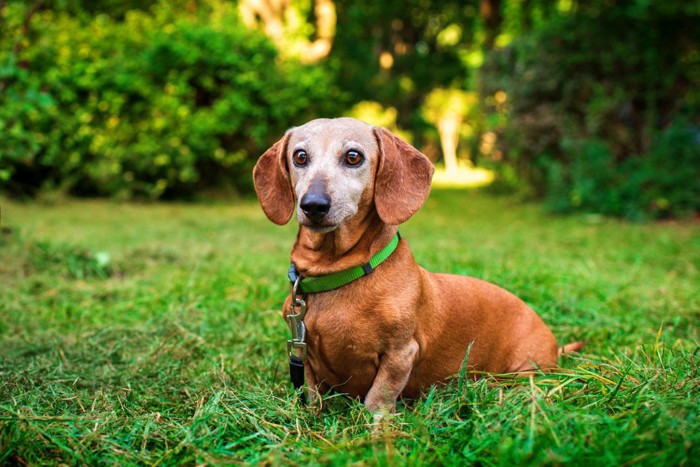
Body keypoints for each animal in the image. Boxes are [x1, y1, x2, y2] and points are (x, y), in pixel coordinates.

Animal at [254, 119, 584, 414]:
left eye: (353, 156)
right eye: (300, 156)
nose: (313, 205)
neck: (337, 273)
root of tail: (553, 343)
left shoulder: (401, 354)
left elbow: (378, 397)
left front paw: (378, 432)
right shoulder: (303, 352)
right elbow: (311, 394)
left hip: (525, 370)